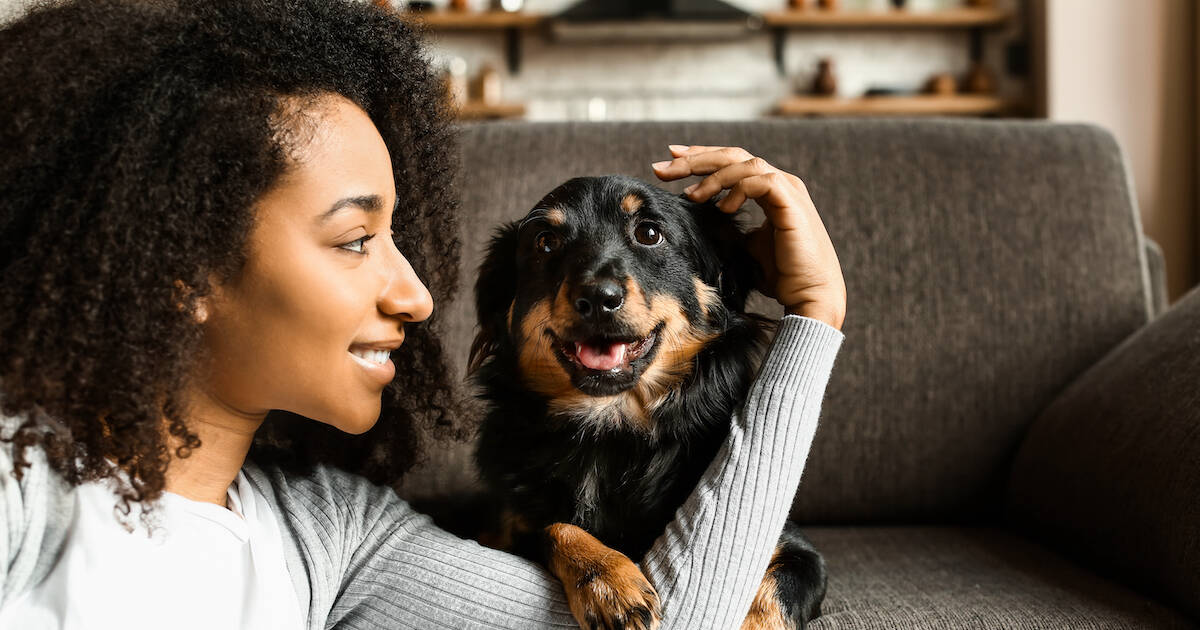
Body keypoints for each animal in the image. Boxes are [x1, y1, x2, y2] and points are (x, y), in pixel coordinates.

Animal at [465, 174, 825, 628]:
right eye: (545, 242)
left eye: (649, 234)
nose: (598, 298)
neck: (609, 428)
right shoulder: (503, 529)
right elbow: (554, 526)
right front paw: (607, 580)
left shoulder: (795, 550)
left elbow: (771, 595)